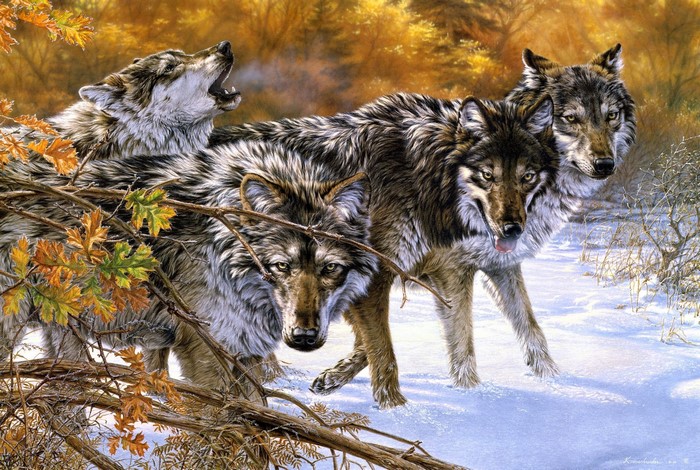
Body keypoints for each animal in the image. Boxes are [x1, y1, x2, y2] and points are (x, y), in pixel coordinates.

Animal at [209, 92, 559, 407]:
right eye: (488, 175)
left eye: (527, 177)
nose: (512, 229)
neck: (424, 177)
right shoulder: (385, 274)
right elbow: (387, 348)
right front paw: (397, 408)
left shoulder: (483, 267)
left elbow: (529, 327)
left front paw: (551, 379)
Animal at [310, 44, 637, 393]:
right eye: (571, 118)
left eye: (611, 116)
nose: (605, 164)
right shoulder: (446, 271)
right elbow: (459, 339)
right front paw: (471, 392)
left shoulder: (500, 264)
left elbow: (530, 327)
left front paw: (553, 381)